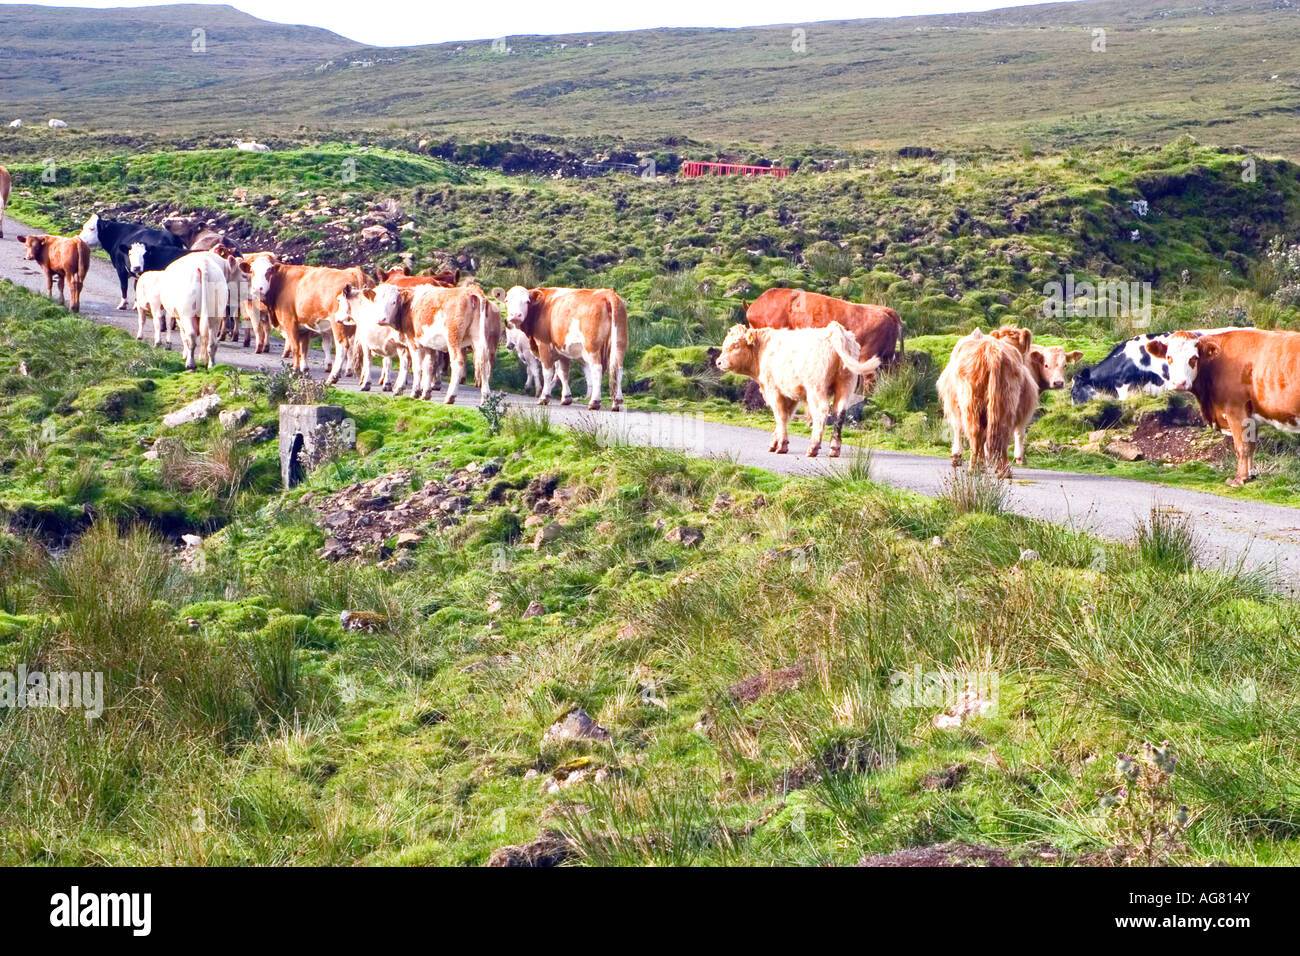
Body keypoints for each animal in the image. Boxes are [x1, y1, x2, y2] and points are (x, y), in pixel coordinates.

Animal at [714, 322, 881, 458]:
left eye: (736, 345)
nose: (718, 362)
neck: (762, 351)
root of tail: (834, 329)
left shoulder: (774, 390)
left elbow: (780, 416)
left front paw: (781, 445)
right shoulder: (790, 394)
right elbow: (786, 416)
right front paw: (775, 442)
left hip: (816, 388)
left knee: (821, 412)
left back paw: (813, 447)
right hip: (845, 385)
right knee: (839, 413)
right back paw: (834, 448)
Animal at [1155, 328, 1300, 487]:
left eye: (1193, 358)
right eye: (1169, 357)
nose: (1179, 383)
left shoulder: (1236, 411)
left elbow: (1242, 447)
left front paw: (1240, 479)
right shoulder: (1251, 417)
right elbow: (1251, 446)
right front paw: (1250, 476)